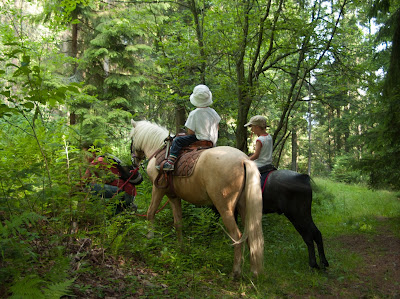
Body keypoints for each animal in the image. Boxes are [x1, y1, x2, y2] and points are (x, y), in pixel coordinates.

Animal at [130, 120, 264, 278]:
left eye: (132, 139)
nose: (134, 162)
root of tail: (243, 160)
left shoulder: (158, 189)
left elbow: (150, 213)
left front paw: (149, 239)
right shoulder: (173, 196)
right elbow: (178, 223)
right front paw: (180, 248)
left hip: (225, 208)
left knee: (237, 236)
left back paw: (235, 272)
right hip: (244, 207)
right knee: (250, 235)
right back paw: (253, 271)